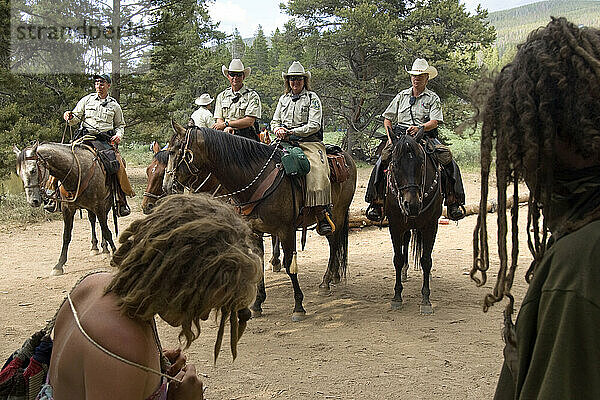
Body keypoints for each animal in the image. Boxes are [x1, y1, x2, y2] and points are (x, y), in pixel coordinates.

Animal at [13, 142, 116, 276]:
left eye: (33, 170)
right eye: (19, 173)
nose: (33, 201)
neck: (76, 173)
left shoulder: (99, 206)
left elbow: (107, 231)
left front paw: (115, 253)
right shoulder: (67, 209)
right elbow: (66, 236)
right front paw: (59, 265)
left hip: (105, 204)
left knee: (102, 224)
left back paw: (105, 249)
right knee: (92, 220)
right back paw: (95, 247)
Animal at [162, 125, 356, 322]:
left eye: (174, 152)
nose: (167, 186)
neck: (255, 179)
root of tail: (346, 157)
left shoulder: (286, 230)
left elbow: (289, 265)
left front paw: (298, 307)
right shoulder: (254, 231)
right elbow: (259, 262)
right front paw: (257, 304)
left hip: (338, 214)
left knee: (335, 244)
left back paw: (326, 281)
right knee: (334, 243)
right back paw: (332, 277)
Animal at [382, 133, 442, 314]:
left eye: (421, 162)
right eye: (395, 164)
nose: (412, 205)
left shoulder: (431, 225)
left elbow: (426, 260)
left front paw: (426, 300)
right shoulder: (395, 225)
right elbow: (397, 259)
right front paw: (396, 297)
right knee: (407, 240)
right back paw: (404, 271)